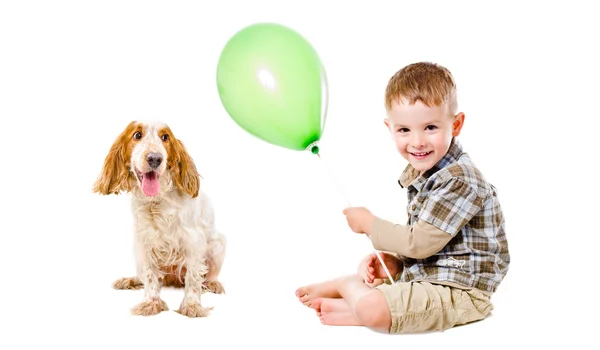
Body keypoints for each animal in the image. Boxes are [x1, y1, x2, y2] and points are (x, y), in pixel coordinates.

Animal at [92, 121, 226, 318]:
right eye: (137, 135)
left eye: (165, 137)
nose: (155, 158)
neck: (157, 200)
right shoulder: (144, 242)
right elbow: (149, 276)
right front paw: (151, 302)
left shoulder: (193, 241)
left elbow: (193, 277)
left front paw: (192, 305)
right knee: (143, 275)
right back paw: (130, 280)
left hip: (218, 244)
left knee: (209, 275)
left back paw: (212, 284)